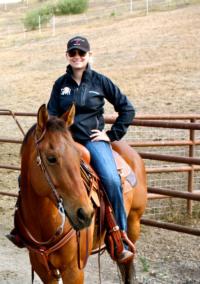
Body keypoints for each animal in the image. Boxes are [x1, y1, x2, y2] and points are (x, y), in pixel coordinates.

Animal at [16, 105, 147, 284]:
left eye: (78, 156)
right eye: (51, 158)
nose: (85, 213)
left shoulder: (73, 270)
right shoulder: (42, 269)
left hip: (134, 223)